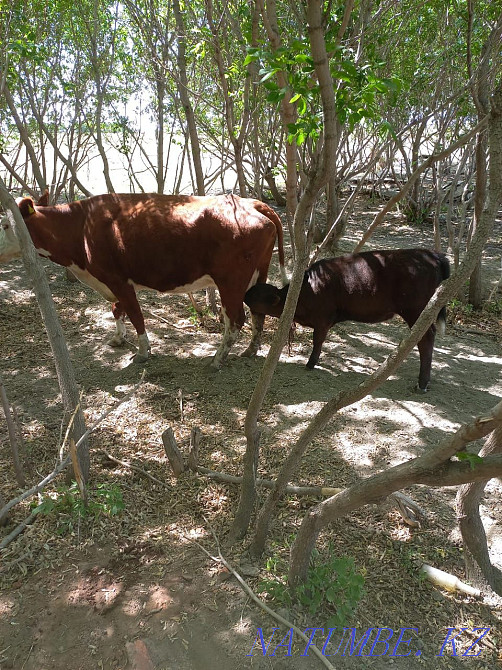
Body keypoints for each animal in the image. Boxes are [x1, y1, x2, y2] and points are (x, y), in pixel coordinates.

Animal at [0, 192, 287, 368]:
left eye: (4, 224)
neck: (80, 228)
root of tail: (251, 202)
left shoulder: (118, 280)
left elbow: (136, 315)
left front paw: (142, 352)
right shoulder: (112, 281)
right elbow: (117, 310)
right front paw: (118, 338)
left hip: (230, 281)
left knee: (236, 319)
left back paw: (218, 359)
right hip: (257, 275)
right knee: (257, 313)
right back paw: (250, 350)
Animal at [244, 248, 450, 391]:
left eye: (257, 295)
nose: (244, 295)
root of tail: (432, 254)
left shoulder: (322, 319)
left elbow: (317, 341)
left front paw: (311, 363)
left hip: (416, 310)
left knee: (426, 339)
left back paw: (422, 383)